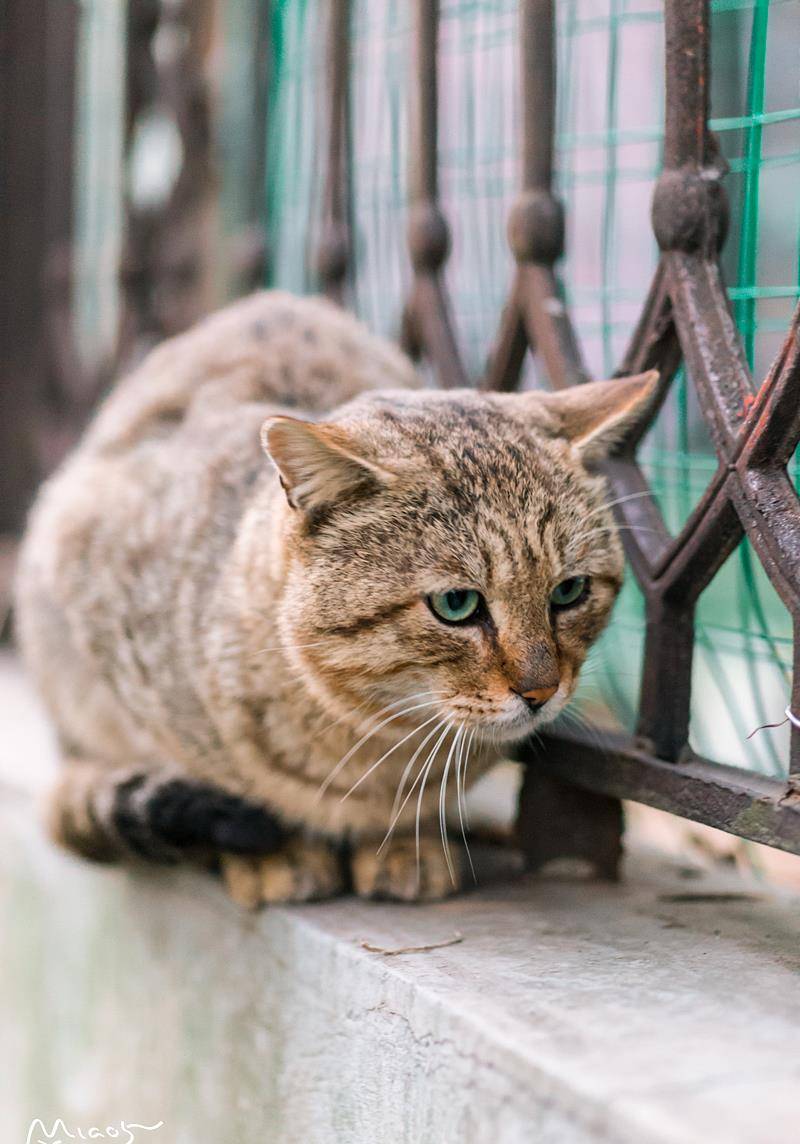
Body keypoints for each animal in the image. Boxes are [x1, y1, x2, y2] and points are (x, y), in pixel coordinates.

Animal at [14, 290, 659, 906]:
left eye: (569, 591)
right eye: (457, 604)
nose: (541, 693)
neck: (372, 736)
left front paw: (406, 845)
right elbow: (220, 778)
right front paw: (278, 852)